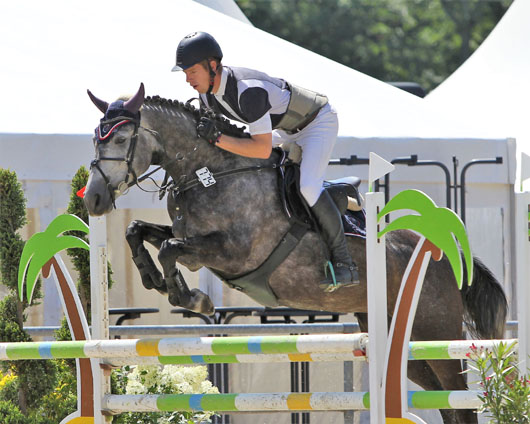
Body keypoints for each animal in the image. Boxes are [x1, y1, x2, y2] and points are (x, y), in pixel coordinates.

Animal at [82, 83, 504, 424]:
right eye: (95, 140)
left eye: (119, 140)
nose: (94, 199)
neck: (211, 173)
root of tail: (442, 254)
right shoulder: (194, 240)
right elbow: (139, 232)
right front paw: (152, 278)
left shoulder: (232, 253)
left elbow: (171, 249)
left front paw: (195, 299)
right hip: (400, 338)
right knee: (445, 401)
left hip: (436, 331)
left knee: (459, 400)